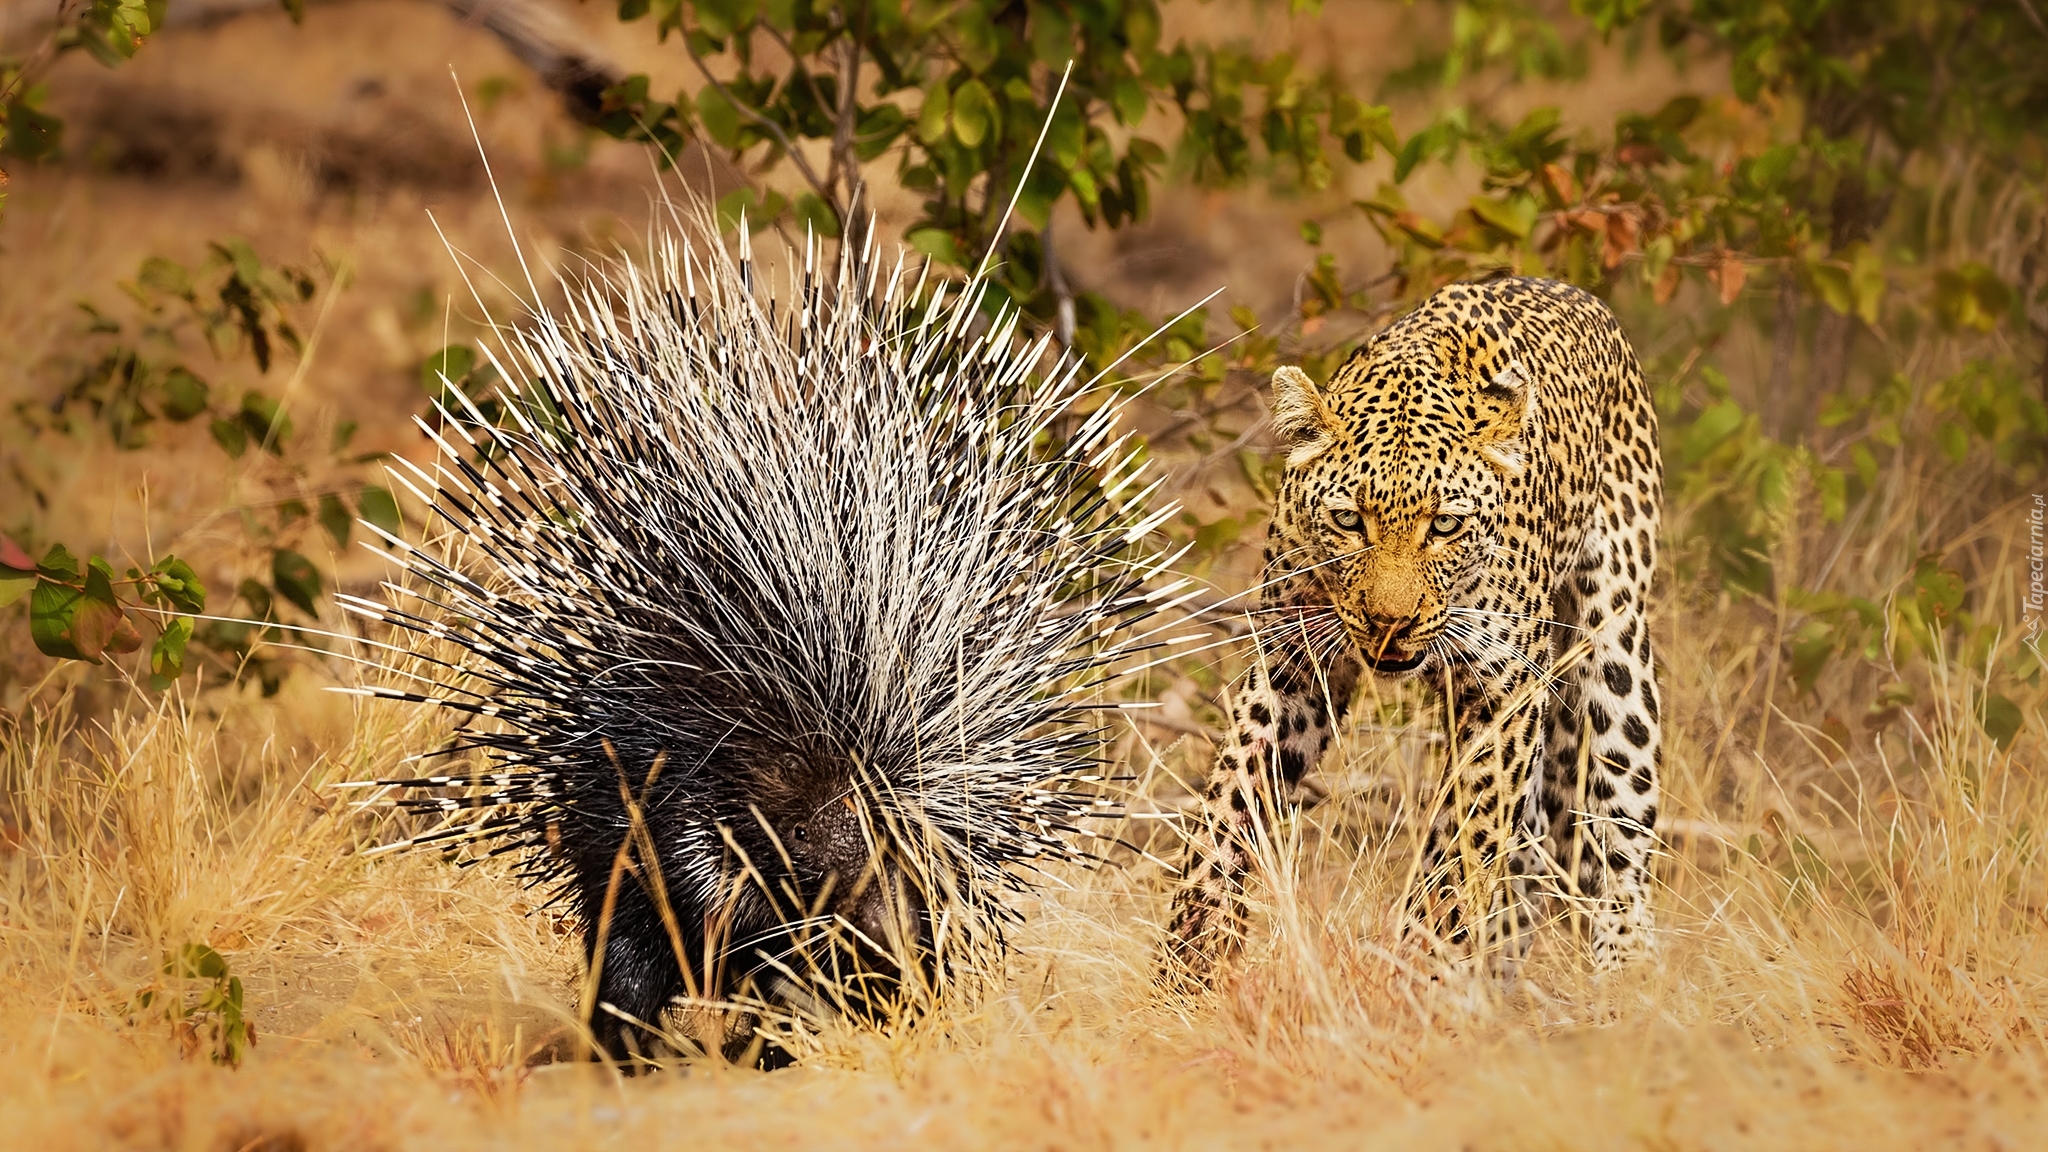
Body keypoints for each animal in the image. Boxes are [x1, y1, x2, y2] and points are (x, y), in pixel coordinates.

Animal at [1163, 272, 1654, 983]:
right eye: (1349, 521)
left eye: (1445, 525)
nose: (1390, 623)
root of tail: (1573, 292)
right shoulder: (1292, 663)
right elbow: (1231, 800)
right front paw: (1190, 956)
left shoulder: (1503, 694)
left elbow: (1468, 844)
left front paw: (1431, 972)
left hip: (1613, 647)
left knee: (1618, 828)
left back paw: (1625, 978)